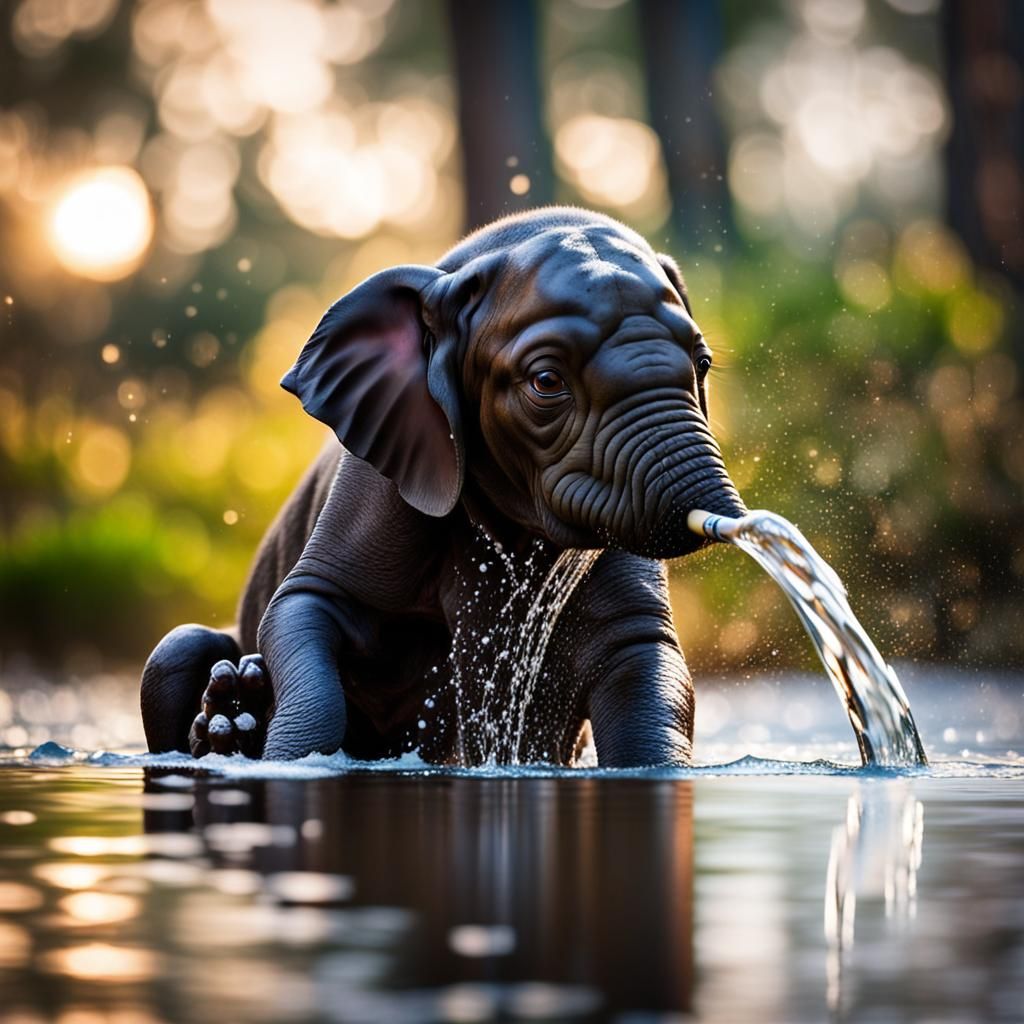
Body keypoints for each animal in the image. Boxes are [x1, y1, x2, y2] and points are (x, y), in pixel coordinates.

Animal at [140, 206, 746, 767]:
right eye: (546, 382)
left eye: (703, 363)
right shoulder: (377, 486)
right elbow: (304, 609)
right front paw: (286, 758)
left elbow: (645, 671)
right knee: (179, 647)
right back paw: (227, 716)